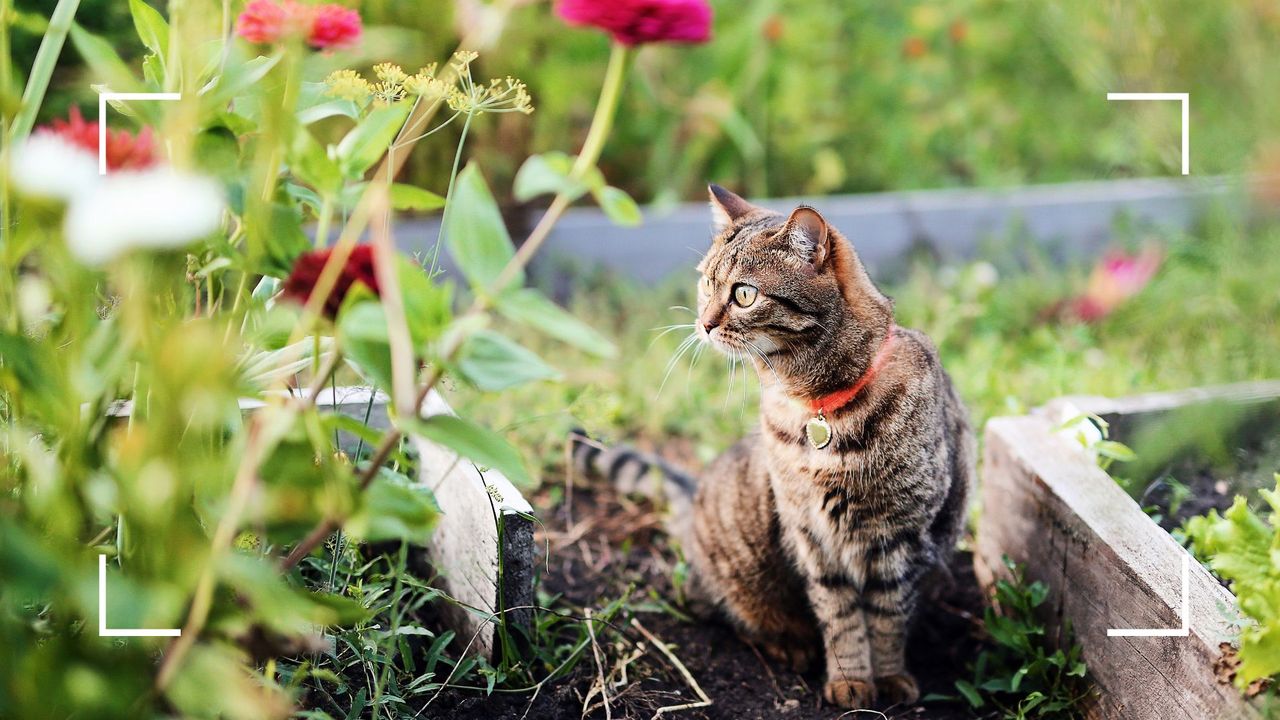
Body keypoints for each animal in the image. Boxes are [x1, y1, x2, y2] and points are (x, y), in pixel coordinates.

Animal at [570, 183, 967, 707]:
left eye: (744, 294)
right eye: (706, 283)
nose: (703, 323)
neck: (819, 408)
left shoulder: (899, 537)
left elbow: (887, 618)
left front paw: (889, 677)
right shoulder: (812, 535)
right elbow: (840, 616)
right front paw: (850, 680)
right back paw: (788, 642)